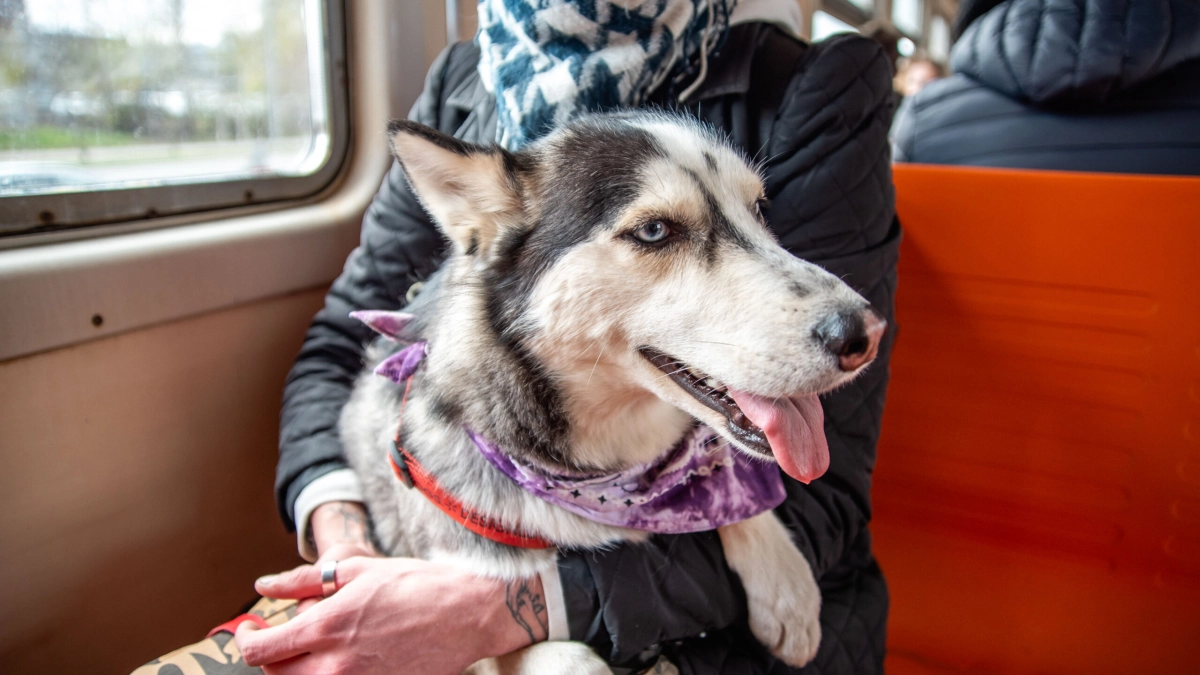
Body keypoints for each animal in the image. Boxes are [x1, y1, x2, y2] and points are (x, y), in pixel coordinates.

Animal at [338, 112, 883, 667]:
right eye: (655, 230)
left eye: (757, 209)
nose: (864, 335)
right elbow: (562, 657)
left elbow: (734, 488)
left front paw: (787, 585)